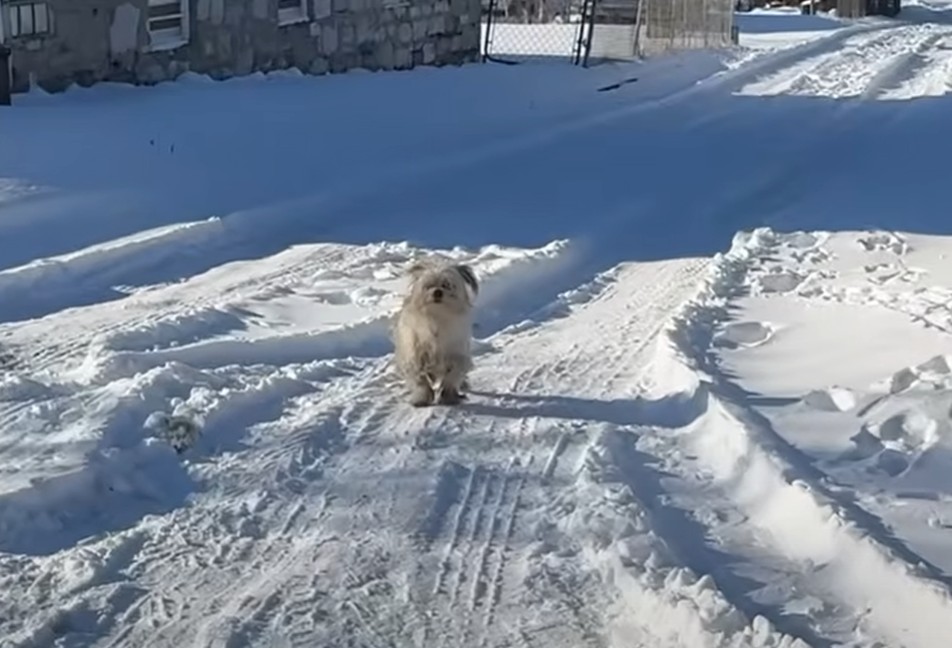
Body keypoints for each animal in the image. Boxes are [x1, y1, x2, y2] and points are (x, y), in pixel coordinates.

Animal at [390, 256, 480, 404]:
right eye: (429, 285)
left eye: (447, 285)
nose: (437, 291)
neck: (437, 317)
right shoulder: (416, 355)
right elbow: (420, 379)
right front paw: (422, 397)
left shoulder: (456, 354)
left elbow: (453, 374)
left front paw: (448, 394)